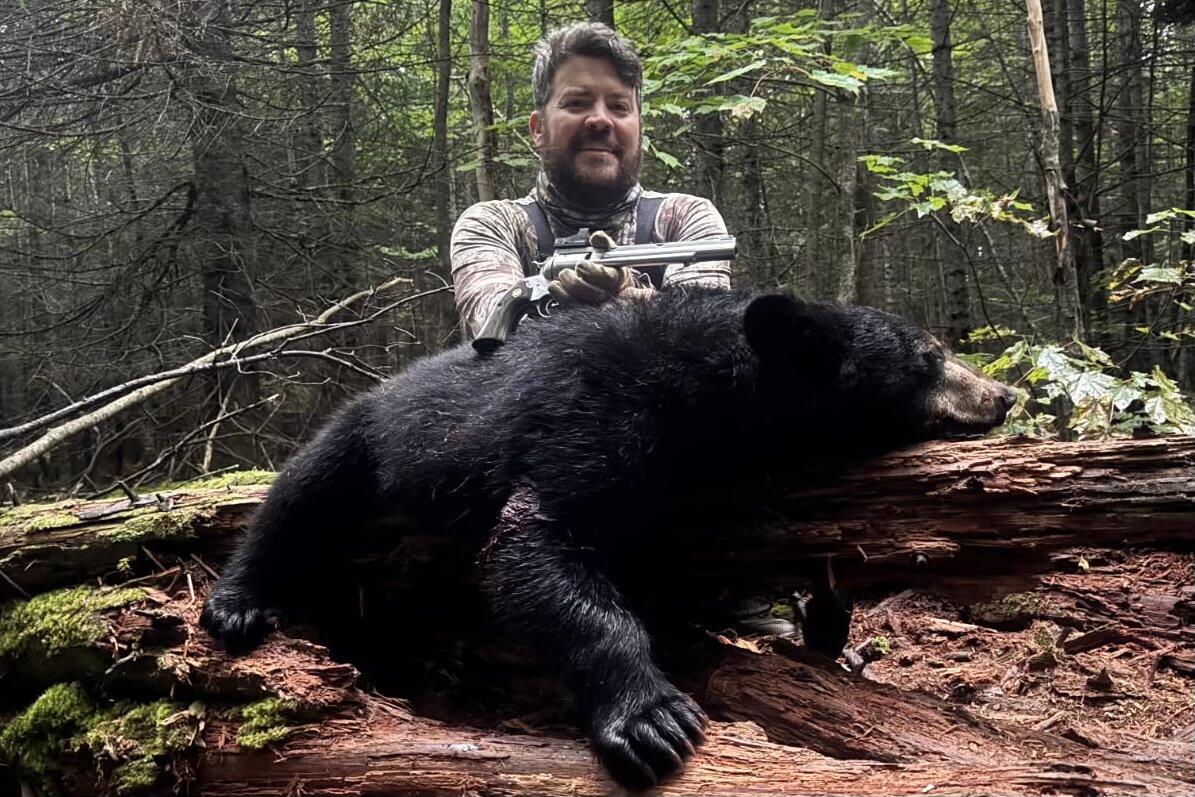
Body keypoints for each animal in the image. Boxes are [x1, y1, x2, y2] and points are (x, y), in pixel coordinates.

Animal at [201, 287, 1016, 790]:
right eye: (929, 356)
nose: (1003, 393)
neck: (705, 388)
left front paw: (825, 617)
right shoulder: (592, 421)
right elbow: (533, 547)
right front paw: (653, 717)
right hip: (368, 434)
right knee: (302, 490)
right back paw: (238, 600)